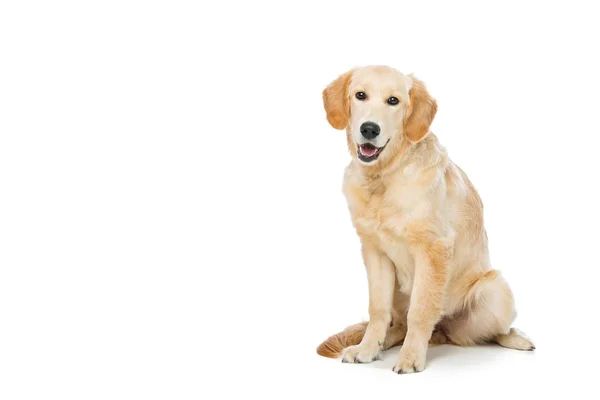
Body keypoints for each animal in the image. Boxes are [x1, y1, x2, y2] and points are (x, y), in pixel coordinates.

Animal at [318, 66, 536, 376]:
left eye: (393, 100)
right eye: (360, 95)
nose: (369, 129)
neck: (385, 176)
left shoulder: (433, 249)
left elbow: (421, 311)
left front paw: (411, 357)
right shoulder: (374, 251)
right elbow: (378, 309)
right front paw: (367, 348)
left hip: (493, 288)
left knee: (490, 330)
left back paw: (516, 337)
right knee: (399, 322)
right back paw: (386, 341)